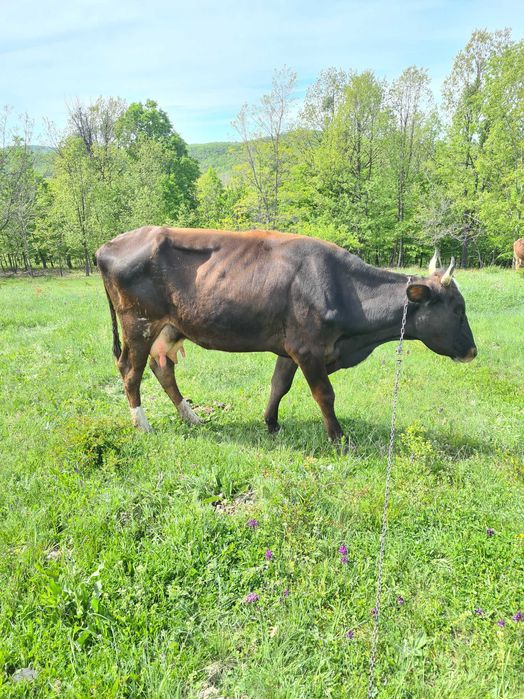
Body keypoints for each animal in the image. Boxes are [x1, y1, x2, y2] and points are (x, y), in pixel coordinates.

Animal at [96, 227, 477, 445]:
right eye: (458, 309)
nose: (473, 351)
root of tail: (109, 245)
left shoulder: (290, 348)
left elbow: (279, 385)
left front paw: (271, 424)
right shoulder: (308, 348)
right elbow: (325, 394)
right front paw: (337, 437)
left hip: (169, 327)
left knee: (162, 368)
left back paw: (190, 416)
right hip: (138, 323)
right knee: (130, 371)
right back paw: (143, 425)